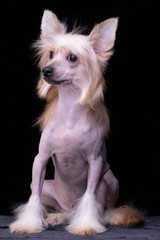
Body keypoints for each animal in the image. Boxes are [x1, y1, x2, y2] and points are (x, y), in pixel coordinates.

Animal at [9, 10, 144, 235]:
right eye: (51, 54)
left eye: (72, 57)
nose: (46, 70)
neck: (70, 114)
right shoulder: (41, 159)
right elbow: (34, 197)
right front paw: (27, 224)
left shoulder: (95, 162)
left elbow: (89, 197)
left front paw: (86, 225)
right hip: (48, 187)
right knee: (60, 208)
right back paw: (57, 216)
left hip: (109, 179)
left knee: (99, 208)